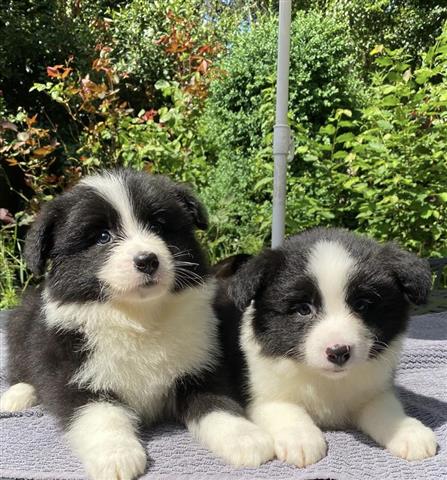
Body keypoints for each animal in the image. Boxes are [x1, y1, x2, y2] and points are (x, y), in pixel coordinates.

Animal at [0, 170, 272, 480]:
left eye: (157, 226)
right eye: (102, 237)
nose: (147, 260)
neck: (139, 317)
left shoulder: (201, 367)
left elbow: (219, 405)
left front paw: (246, 438)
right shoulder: (73, 373)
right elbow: (101, 414)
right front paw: (117, 456)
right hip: (21, 325)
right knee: (21, 367)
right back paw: (16, 396)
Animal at [222, 229, 440, 468]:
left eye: (362, 305)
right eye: (303, 309)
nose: (338, 352)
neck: (328, 381)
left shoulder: (375, 389)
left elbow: (387, 409)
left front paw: (408, 431)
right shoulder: (263, 396)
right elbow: (287, 409)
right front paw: (301, 438)